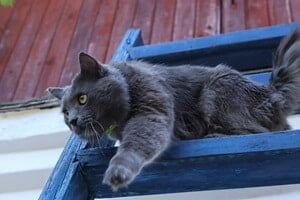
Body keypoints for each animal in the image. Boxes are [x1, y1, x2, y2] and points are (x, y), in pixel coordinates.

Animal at [48, 26, 300, 191]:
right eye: (65, 113)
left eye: (82, 99)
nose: (73, 121)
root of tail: (271, 93)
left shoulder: (151, 110)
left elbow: (135, 145)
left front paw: (118, 172)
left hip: (216, 90)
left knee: (259, 131)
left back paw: (213, 134)